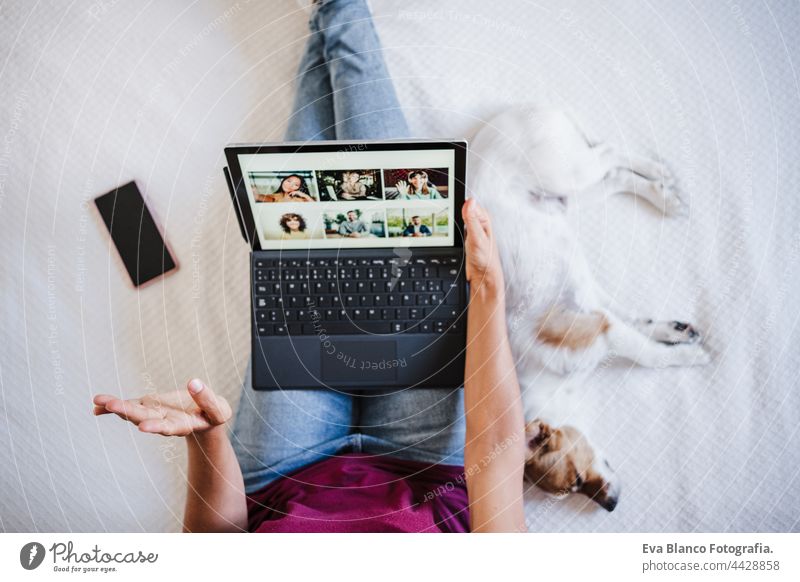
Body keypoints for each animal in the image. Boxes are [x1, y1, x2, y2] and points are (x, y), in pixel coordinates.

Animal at [468, 107, 708, 512]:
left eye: (574, 482)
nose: (611, 506)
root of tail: (508, 115)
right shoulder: (599, 310)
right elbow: (639, 322)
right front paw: (673, 331)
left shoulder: (601, 328)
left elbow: (652, 356)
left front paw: (690, 357)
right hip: (567, 197)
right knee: (615, 177)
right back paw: (661, 193)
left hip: (568, 170)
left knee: (609, 153)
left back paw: (659, 176)